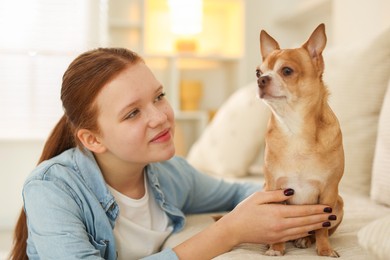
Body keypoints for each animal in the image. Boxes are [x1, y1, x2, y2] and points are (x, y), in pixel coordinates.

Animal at [258, 23, 342, 256]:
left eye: (287, 71)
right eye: (258, 72)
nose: (261, 80)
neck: (294, 128)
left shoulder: (329, 191)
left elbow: (322, 226)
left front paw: (324, 250)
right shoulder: (273, 188)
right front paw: (276, 248)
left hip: (339, 205)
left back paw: (305, 239)